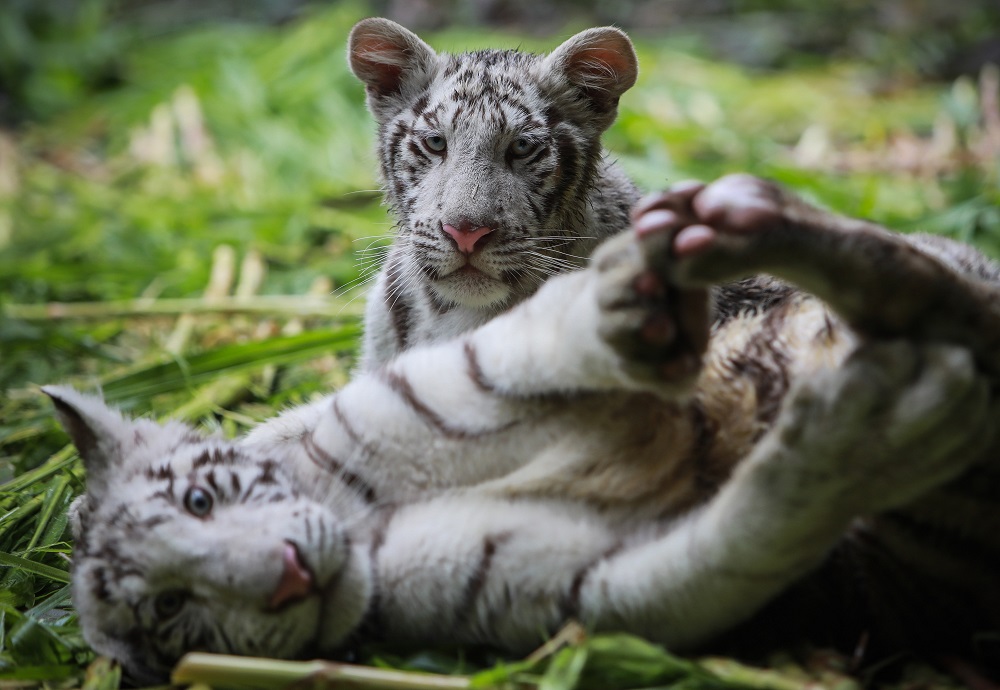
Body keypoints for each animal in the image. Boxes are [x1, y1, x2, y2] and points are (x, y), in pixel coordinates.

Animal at [50, 174, 1000, 683]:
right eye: (171, 610)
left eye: (202, 502)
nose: (284, 578)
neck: (356, 521)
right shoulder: (581, 592)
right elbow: (743, 538)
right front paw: (861, 428)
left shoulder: (419, 387)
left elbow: (502, 356)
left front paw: (619, 304)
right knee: (957, 317)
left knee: (941, 281)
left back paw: (735, 216)